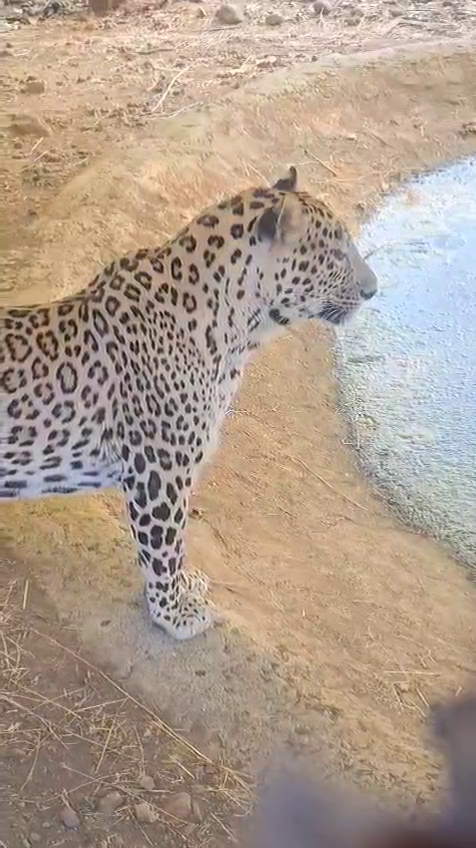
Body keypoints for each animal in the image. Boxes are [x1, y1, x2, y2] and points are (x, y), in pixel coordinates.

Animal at [1, 167, 378, 640]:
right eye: (335, 253)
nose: (373, 289)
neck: (239, 331)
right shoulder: (159, 470)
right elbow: (165, 546)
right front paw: (174, 613)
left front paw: (184, 589)